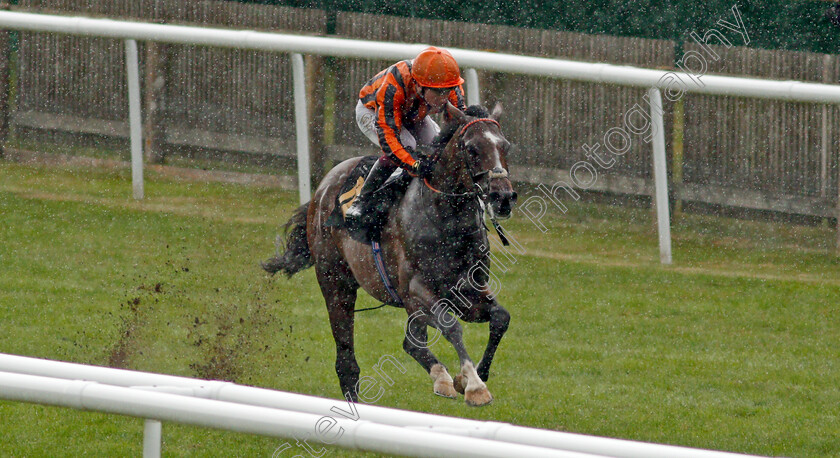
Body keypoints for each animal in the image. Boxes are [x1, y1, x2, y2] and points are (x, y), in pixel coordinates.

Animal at [266, 103, 520, 404]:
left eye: (505, 145)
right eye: (472, 149)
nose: (503, 198)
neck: (447, 222)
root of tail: (323, 186)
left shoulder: (466, 289)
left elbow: (500, 317)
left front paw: (477, 373)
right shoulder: (415, 290)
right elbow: (450, 326)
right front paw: (474, 385)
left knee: (411, 341)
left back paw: (441, 377)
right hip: (335, 282)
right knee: (347, 358)